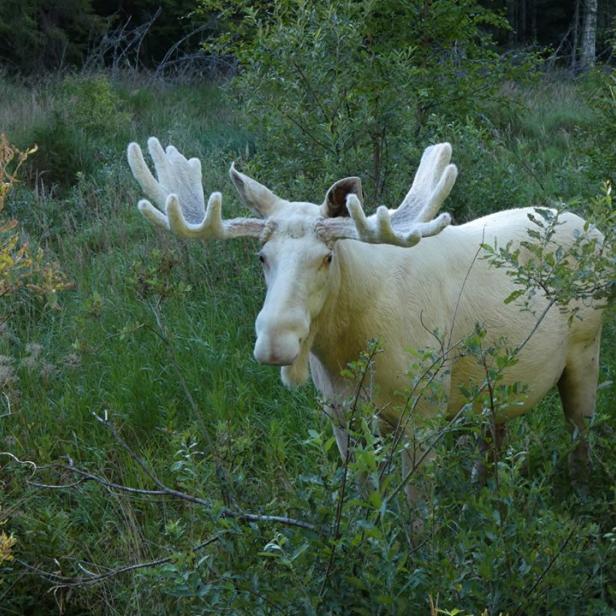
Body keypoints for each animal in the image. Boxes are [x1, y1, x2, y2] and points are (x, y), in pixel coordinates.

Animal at [127, 140, 604, 496]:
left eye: (326, 257)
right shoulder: (339, 414)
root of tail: (594, 227)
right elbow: (358, 492)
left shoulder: (424, 410)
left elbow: (418, 514)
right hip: (497, 384)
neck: (348, 350)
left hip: (587, 351)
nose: (275, 343)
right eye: (262, 256)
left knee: (580, 434)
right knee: (496, 433)